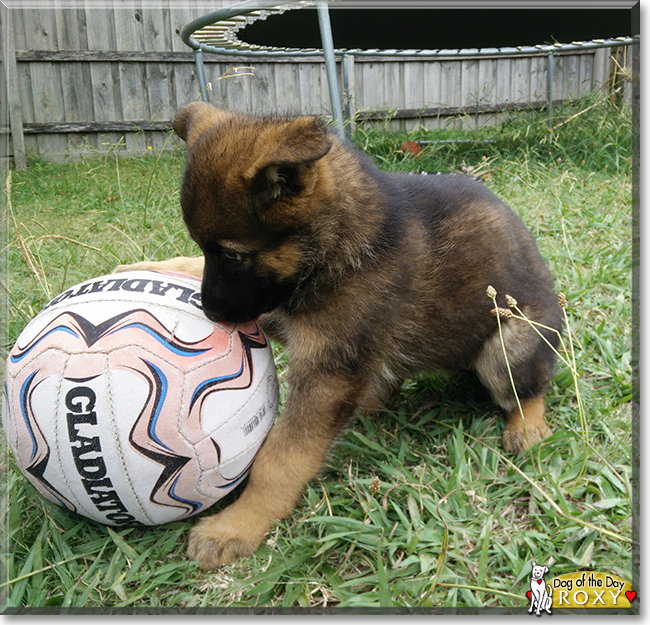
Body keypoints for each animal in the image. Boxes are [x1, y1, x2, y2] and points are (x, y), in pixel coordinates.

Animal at [119, 101, 560, 564]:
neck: (342, 239)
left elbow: (281, 458)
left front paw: (239, 523)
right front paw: (151, 267)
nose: (212, 312)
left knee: (526, 387)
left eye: (233, 255)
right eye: (207, 251)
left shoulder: (326, 371)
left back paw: (527, 424)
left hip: (508, 346)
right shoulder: (281, 313)